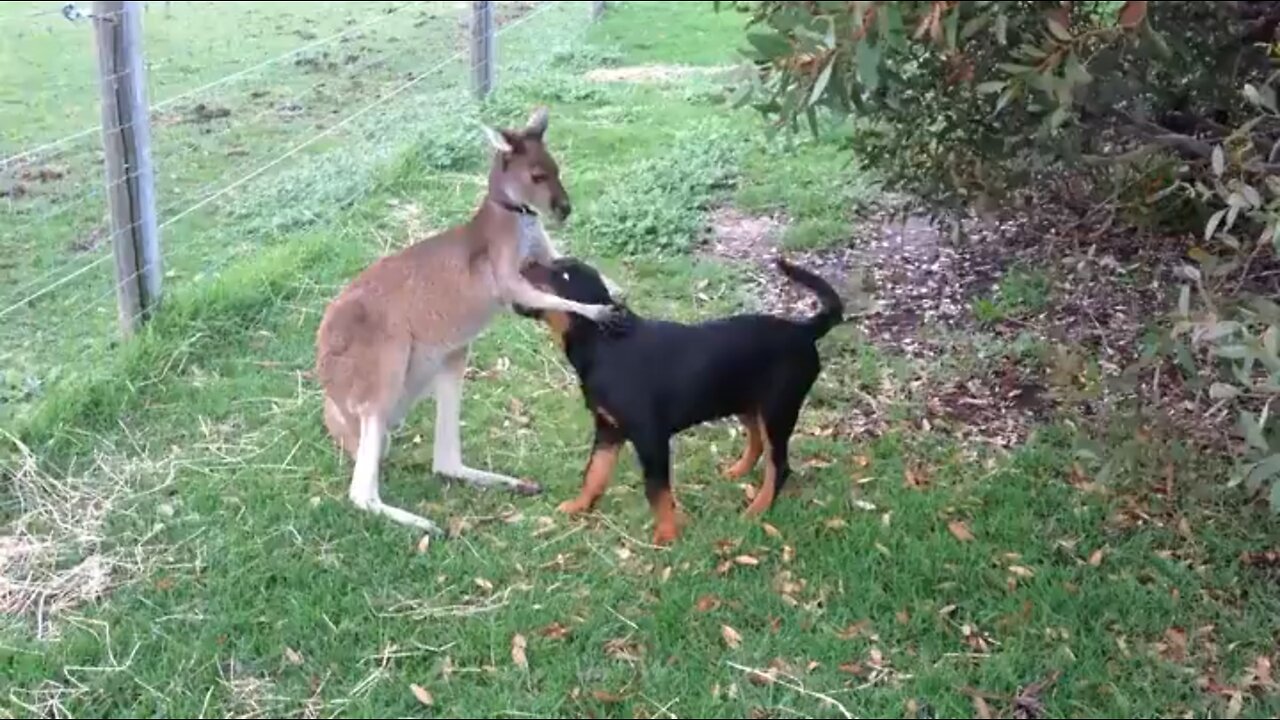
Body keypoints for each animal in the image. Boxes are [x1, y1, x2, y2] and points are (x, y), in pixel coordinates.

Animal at [514, 254, 844, 540]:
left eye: (563, 275)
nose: (524, 261)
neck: (603, 344)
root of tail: (804, 330)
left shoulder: (651, 437)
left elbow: (657, 491)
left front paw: (666, 535)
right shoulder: (608, 429)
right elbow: (594, 472)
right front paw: (579, 506)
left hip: (778, 408)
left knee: (779, 466)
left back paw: (757, 511)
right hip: (744, 400)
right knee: (757, 439)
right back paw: (738, 471)